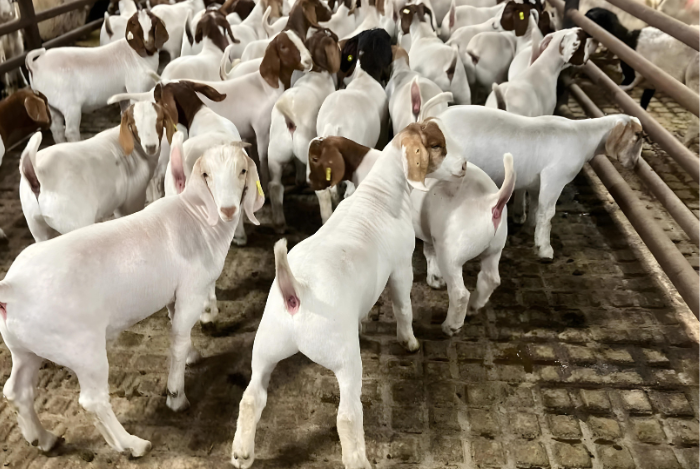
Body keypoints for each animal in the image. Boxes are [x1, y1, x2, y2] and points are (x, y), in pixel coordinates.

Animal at [1, 141, 263, 458]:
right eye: (206, 174)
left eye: (242, 170)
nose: (227, 209)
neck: (198, 216)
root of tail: (12, 288)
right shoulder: (192, 290)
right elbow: (178, 339)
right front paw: (176, 395)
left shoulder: (174, 293)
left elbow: (179, 329)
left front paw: (191, 355)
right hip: (81, 349)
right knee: (93, 401)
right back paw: (132, 444)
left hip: (25, 346)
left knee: (18, 391)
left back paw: (43, 439)